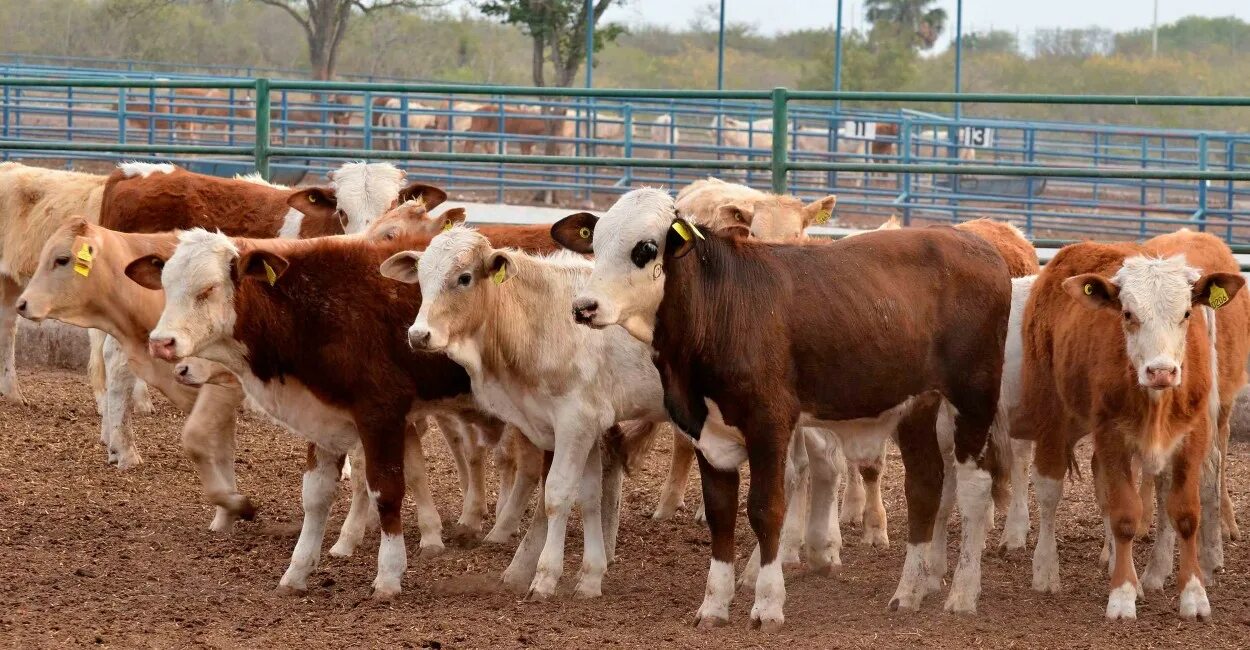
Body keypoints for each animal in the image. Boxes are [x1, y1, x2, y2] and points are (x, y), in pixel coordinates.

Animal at [552, 187, 1010, 630]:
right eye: (596, 242)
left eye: (645, 248)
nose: (583, 307)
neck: (720, 308)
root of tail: (976, 244)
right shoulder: (705, 431)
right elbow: (721, 513)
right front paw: (714, 606)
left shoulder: (769, 425)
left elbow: (765, 509)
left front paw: (768, 605)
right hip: (917, 404)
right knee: (925, 486)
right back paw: (909, 591)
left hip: (973, 398)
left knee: (974, 491)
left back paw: (962, 594)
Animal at [1010, 236, 1245, 622]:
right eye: (1128, 314)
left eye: (1186, 313)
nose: (1161, 371)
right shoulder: (1111, 436)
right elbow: (1123, 515)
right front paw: (1121, 596)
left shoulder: (1190, 436)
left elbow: (1184, 513)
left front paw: (1193, 595)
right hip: (1050, 408)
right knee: (1048, 489)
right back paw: (1046, 569)